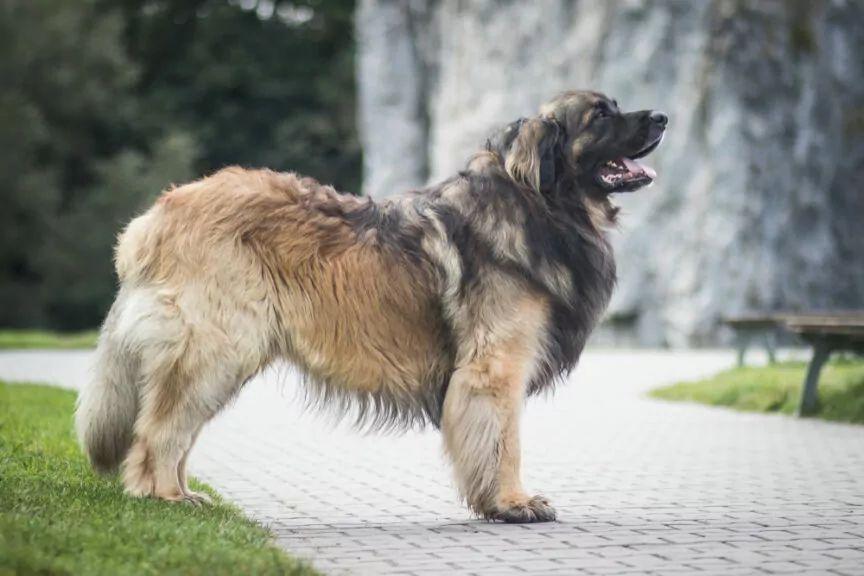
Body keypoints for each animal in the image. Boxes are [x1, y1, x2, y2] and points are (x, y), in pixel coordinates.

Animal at [76, 89, 668, 520]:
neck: (541, 202)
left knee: (175, 429)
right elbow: (504, 441)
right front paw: (512, 504)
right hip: (215, 349)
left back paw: (183, 493)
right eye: (600, 114)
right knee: (158, 432)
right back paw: (165, 498)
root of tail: (155, 215)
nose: (662, 116)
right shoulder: (495, 368)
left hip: (219, 358)